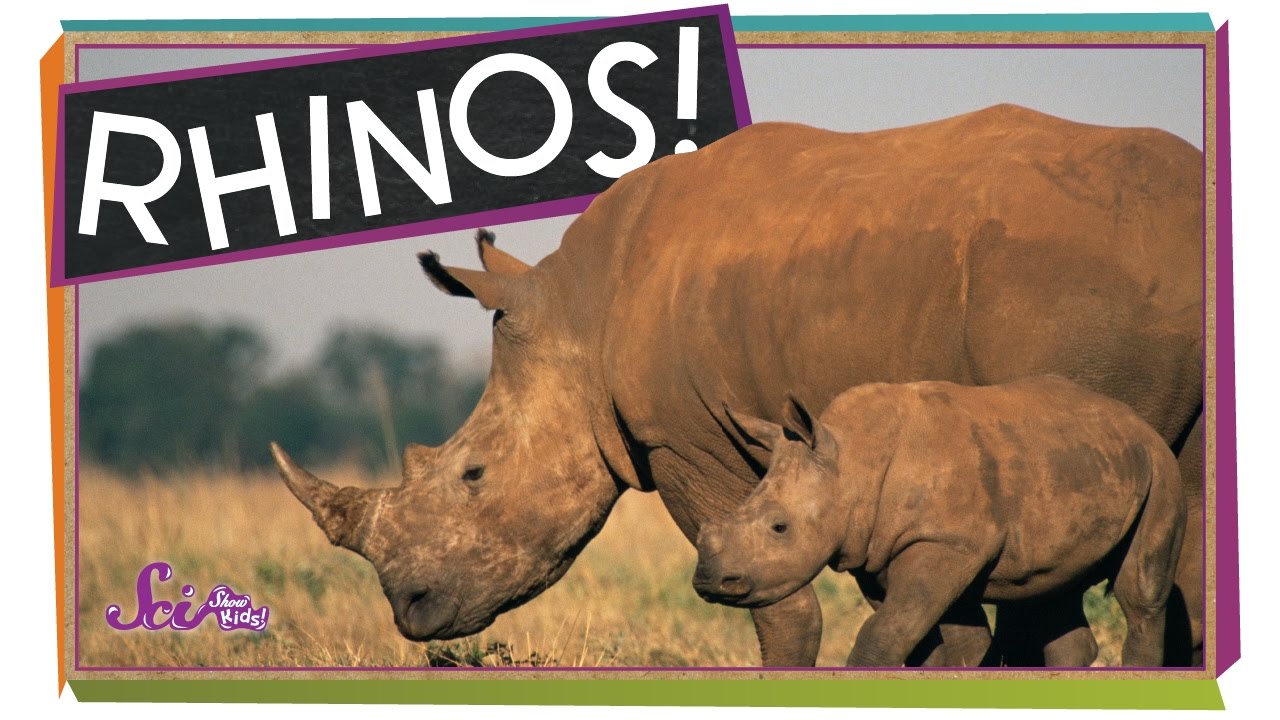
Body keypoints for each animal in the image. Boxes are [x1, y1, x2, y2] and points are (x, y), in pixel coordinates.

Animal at [693, 378, 1186, 667]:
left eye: (780, 528)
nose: (710, 581)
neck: (852, 460)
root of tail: (1133, 418)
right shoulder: (883, 552)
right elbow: (938, 640)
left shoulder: (947, 542)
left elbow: (885, 632)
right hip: (1075, 462)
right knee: (1050, 586)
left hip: (1161, 466)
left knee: (1141, 593)